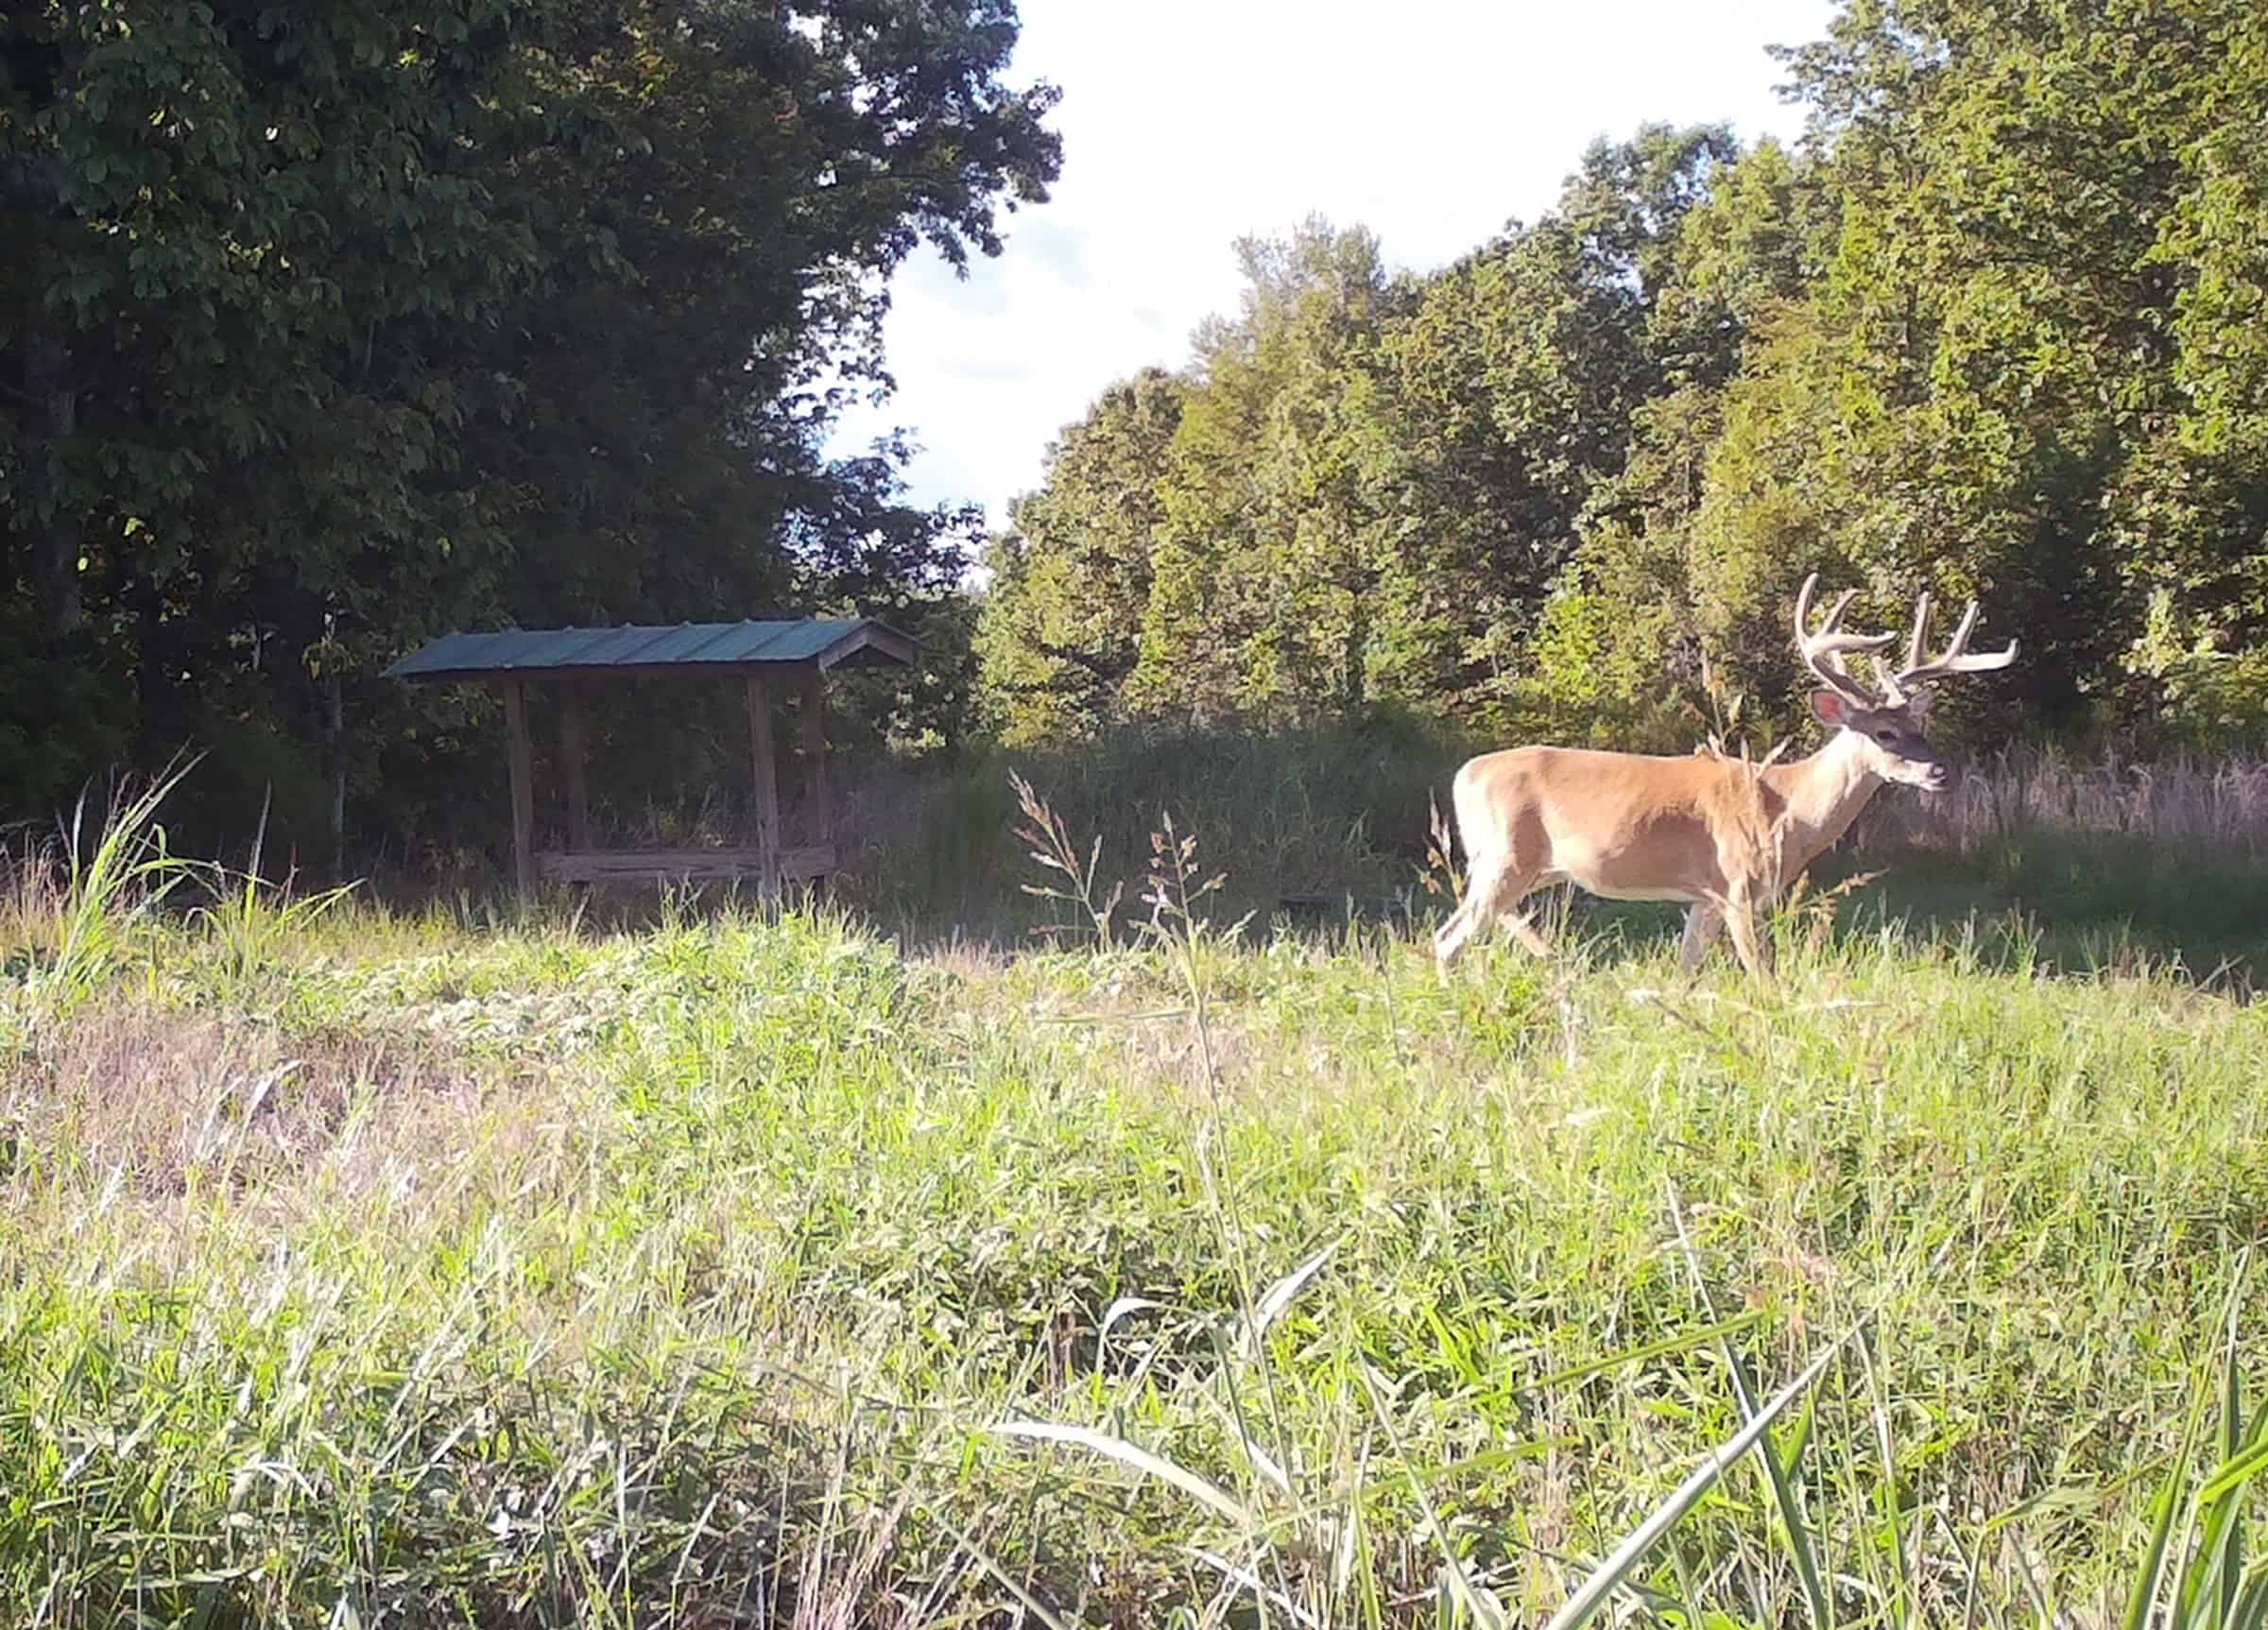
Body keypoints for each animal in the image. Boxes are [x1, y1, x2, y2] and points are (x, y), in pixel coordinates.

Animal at [1432, 573, 2018, 977]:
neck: (1788, 807)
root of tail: (1462, 776)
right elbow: (1763, 976)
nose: (1938, 771)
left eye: (1919, 725)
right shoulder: (1739, 886)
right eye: (1885, 733)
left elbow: (1686, 970)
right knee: (1447, 938)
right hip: (1505, 858)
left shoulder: (1703, 897)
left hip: (1521, 866)